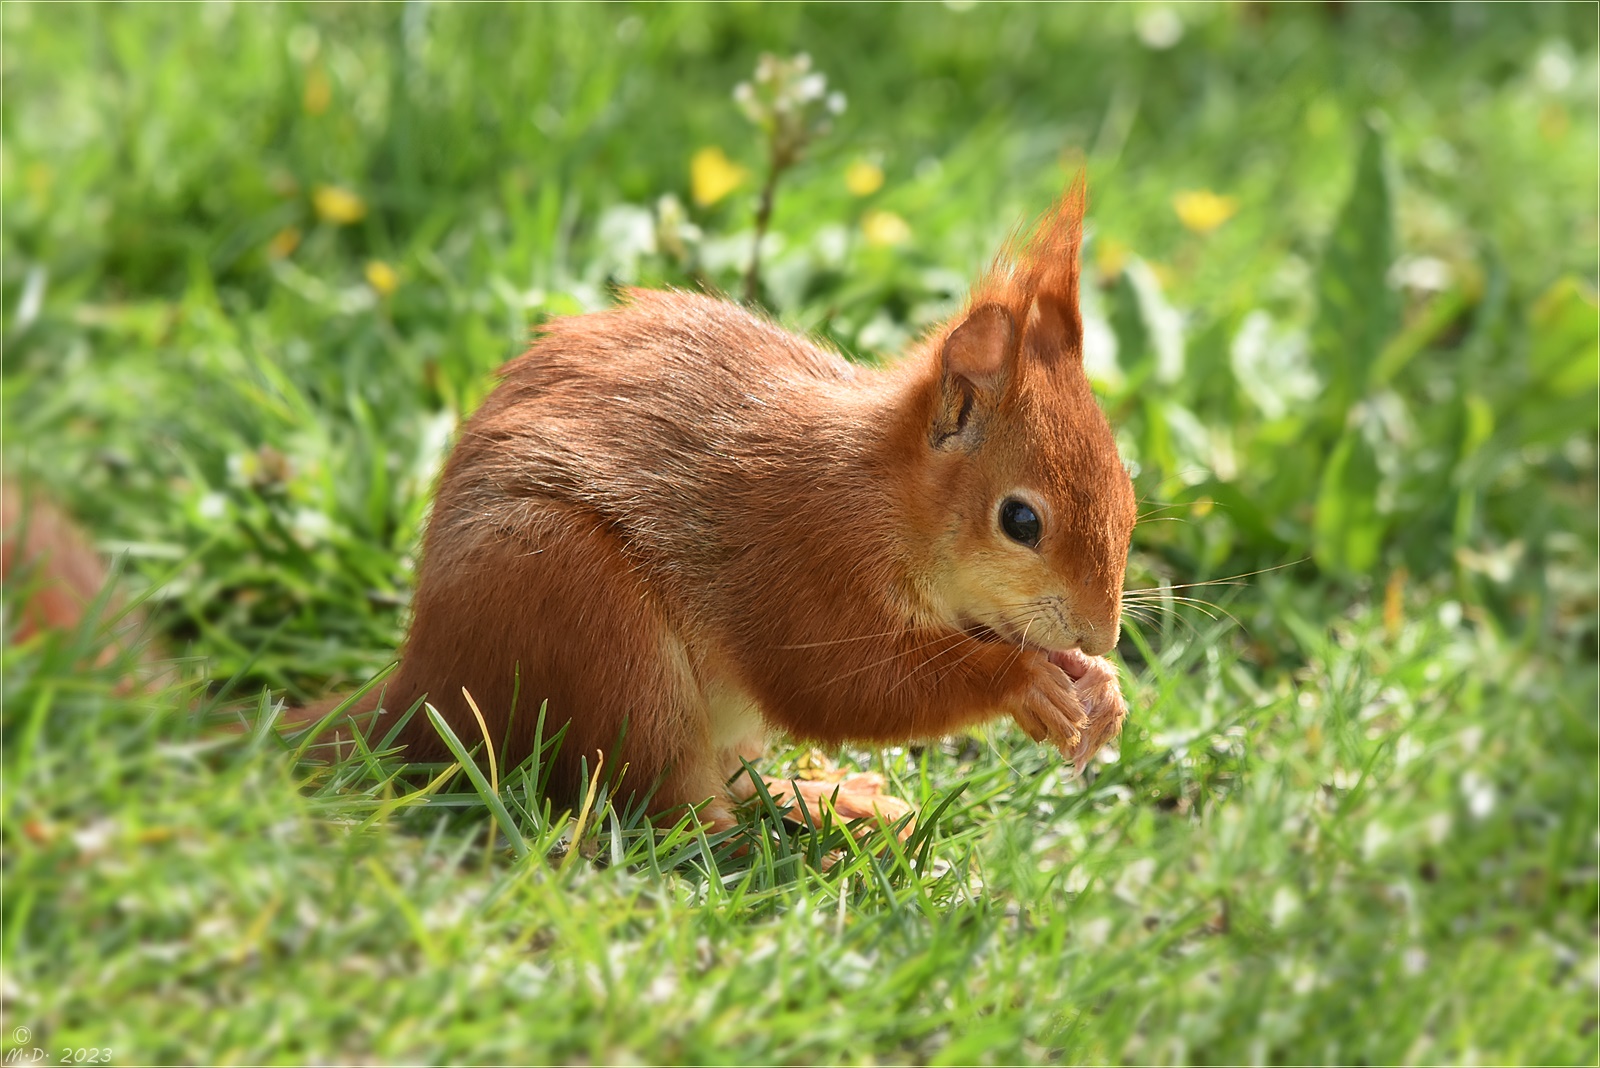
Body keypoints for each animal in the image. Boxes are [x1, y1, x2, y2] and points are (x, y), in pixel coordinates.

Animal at [315, 183, 1139, 824]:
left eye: (1129, 494)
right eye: (1021, 520)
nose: (1101, 635)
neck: (882, 493)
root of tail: (420, 688)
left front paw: (1097, 687)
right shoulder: (803, 556)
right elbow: (845, 688)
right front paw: (1026, 683)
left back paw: (832, 804)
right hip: (587, 620)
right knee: (672, 812)